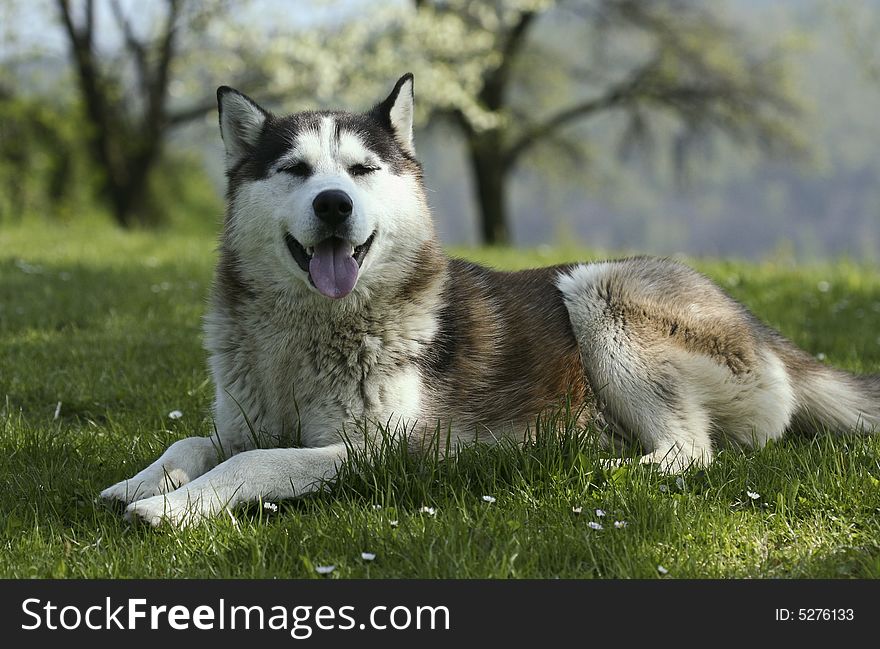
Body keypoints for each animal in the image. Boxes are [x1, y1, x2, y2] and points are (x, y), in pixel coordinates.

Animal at [101, 74, 872, 528]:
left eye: (360, 170)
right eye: (294, 170)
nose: (332, 203)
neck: (311, 333)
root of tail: (765, 331)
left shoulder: (380, 451)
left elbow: (255, 463)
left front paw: (174, 508)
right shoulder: (245, 422)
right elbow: (194, 441)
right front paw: (140, 484)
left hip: (597, 291)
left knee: (692, 448)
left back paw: (611, 469)